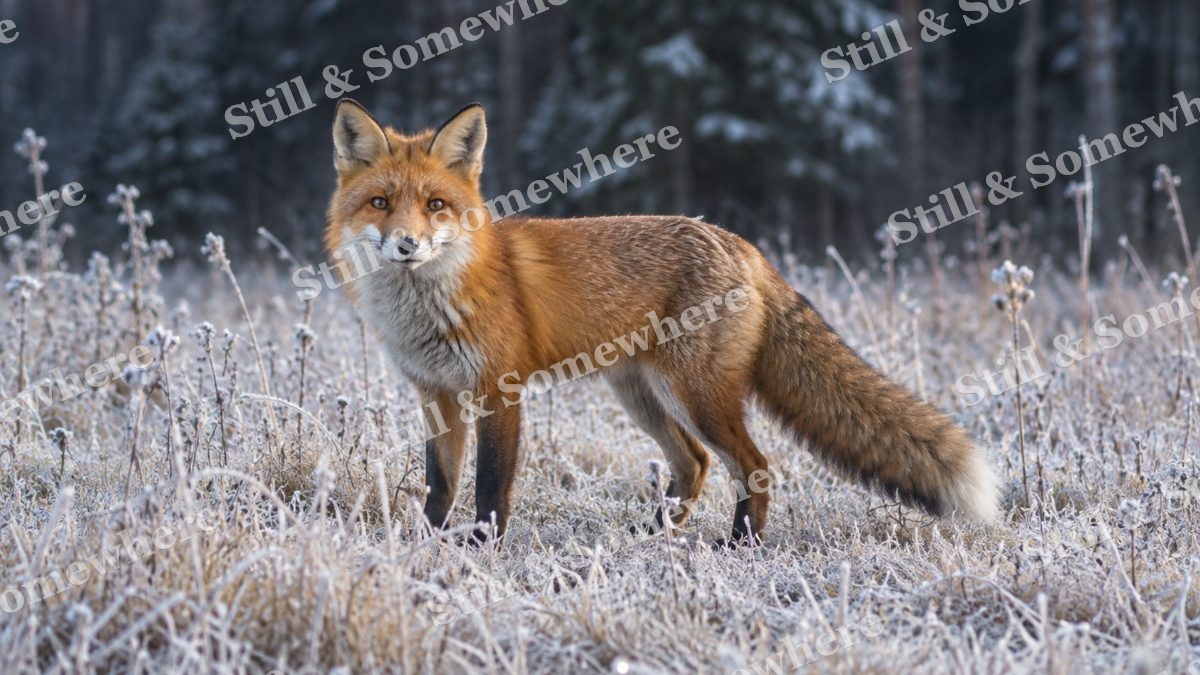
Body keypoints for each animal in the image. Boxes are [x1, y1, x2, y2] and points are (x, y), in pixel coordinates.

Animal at [325, 99, 999, 545]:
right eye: (381, 203)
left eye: (435, 204)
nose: (407, 244)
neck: (432, 301)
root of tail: (742, 245)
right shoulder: (436, 394)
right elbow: (440, 484)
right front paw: (427, 548)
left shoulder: (500, 390)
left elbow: (490, 489)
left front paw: (482, 552)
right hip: (644, 396)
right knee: (694, 464)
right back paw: (655, 534)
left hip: (695, 395)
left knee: (753, 464)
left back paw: (741, 545)